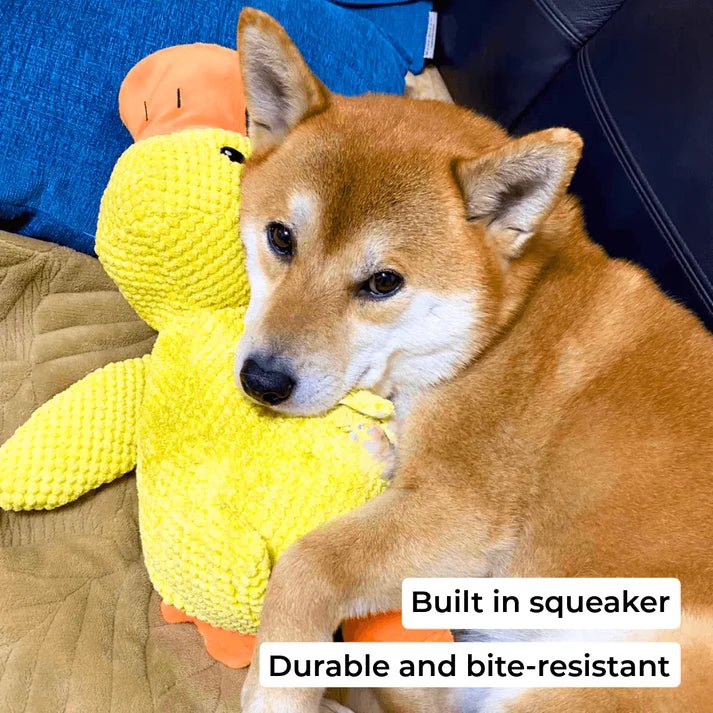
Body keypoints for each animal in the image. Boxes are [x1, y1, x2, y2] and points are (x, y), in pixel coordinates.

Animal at [234, 6, 712, 712]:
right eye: (280, 238)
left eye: (383, 282)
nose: (261, 381)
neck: (504, 328)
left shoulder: (463, 513)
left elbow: (308, 565)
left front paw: (278, 690)